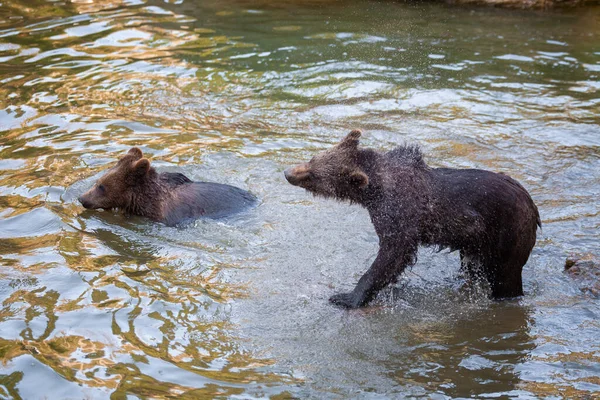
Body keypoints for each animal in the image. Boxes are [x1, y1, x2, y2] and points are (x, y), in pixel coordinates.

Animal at [284, 131, 540, 310]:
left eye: (313, 175)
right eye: (313, 158)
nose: (288, 173)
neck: (374, 188)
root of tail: (532, 206)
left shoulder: (399, 214)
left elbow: (393, 254)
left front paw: (346, 297)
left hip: (507, 231)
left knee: (506, 275)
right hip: (477, 242)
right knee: (473, 266)